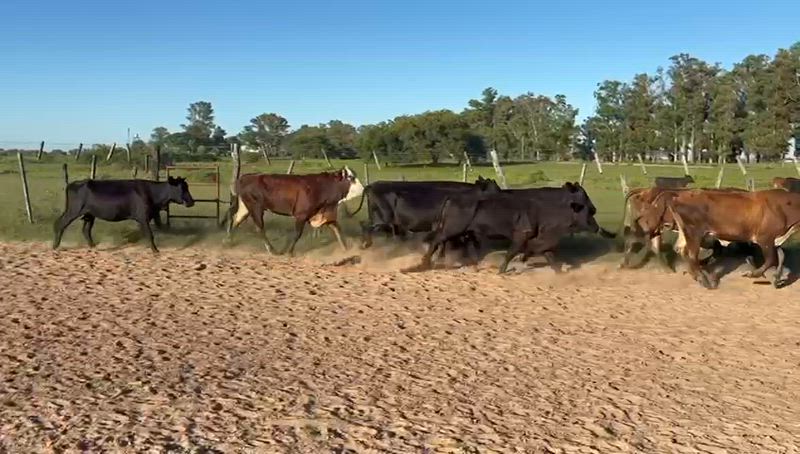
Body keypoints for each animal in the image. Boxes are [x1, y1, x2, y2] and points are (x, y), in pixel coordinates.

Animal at [52, 177, 195, 253]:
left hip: (89, 214)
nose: (191, 202)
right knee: (60, 224)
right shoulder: (143, 217)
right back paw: (55, 246)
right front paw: (155, 250)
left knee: (86, 230)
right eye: (182, 188)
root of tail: (73, 183)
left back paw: (93, 247)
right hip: (73, 210)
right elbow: (150, 234)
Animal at [226, 167, 364, 256]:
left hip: (245, 208)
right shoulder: (301, 215)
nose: (363, 188)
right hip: (256, 208)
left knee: (236, 220)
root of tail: (247, 176)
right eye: (351, 177)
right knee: (259, 228)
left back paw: (228, 242)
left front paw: (346, 249)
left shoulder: (325, 215)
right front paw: (289, 252)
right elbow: (297, 234)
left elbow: (338, 230)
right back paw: (272, 250)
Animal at [408, 182, 606, 274]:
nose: (596, 226)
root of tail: (452, 197)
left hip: (463, 231)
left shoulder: (541, 240)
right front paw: (502, 270)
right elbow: (511, 253)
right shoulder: (521, 235)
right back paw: (424, 264)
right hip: (452, 228)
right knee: (436, 241)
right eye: (586, 206)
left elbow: (551, 259)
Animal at [652, 189, 800, 289]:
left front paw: (776, 279)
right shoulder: (765, 239)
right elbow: (771, 259)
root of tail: (679, 195)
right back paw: (705, 280)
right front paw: (752, 274)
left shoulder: (775, 240)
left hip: (686, 233)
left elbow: (781, 256)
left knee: (681, 250)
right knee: (692, 255)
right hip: (694, 233)